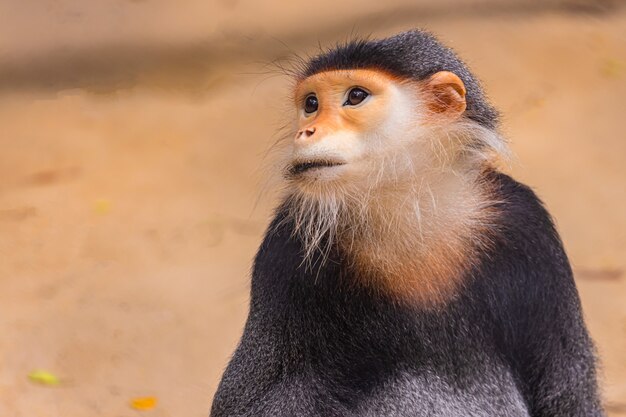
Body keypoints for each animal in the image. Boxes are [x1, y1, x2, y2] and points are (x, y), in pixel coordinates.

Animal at [211, 30, 604, 416]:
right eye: (310, 104)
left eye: (356, 96)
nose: (305, 131)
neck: (410, 210)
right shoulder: (286, 245)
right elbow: (244, 402)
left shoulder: (527, 222)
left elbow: (568, 396)